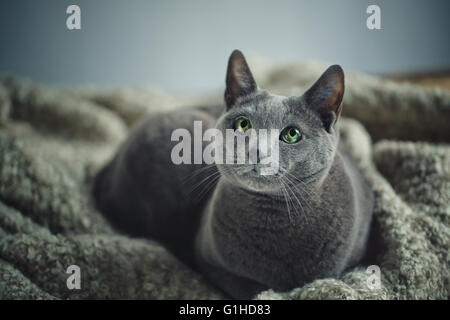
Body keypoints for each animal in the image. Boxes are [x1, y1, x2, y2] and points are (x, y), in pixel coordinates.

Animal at [91, 50, 372, 300]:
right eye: (243, 124)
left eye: (292, 134)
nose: (257, 151)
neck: (272, 217)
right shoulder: (211, 263)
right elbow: (253, 289)